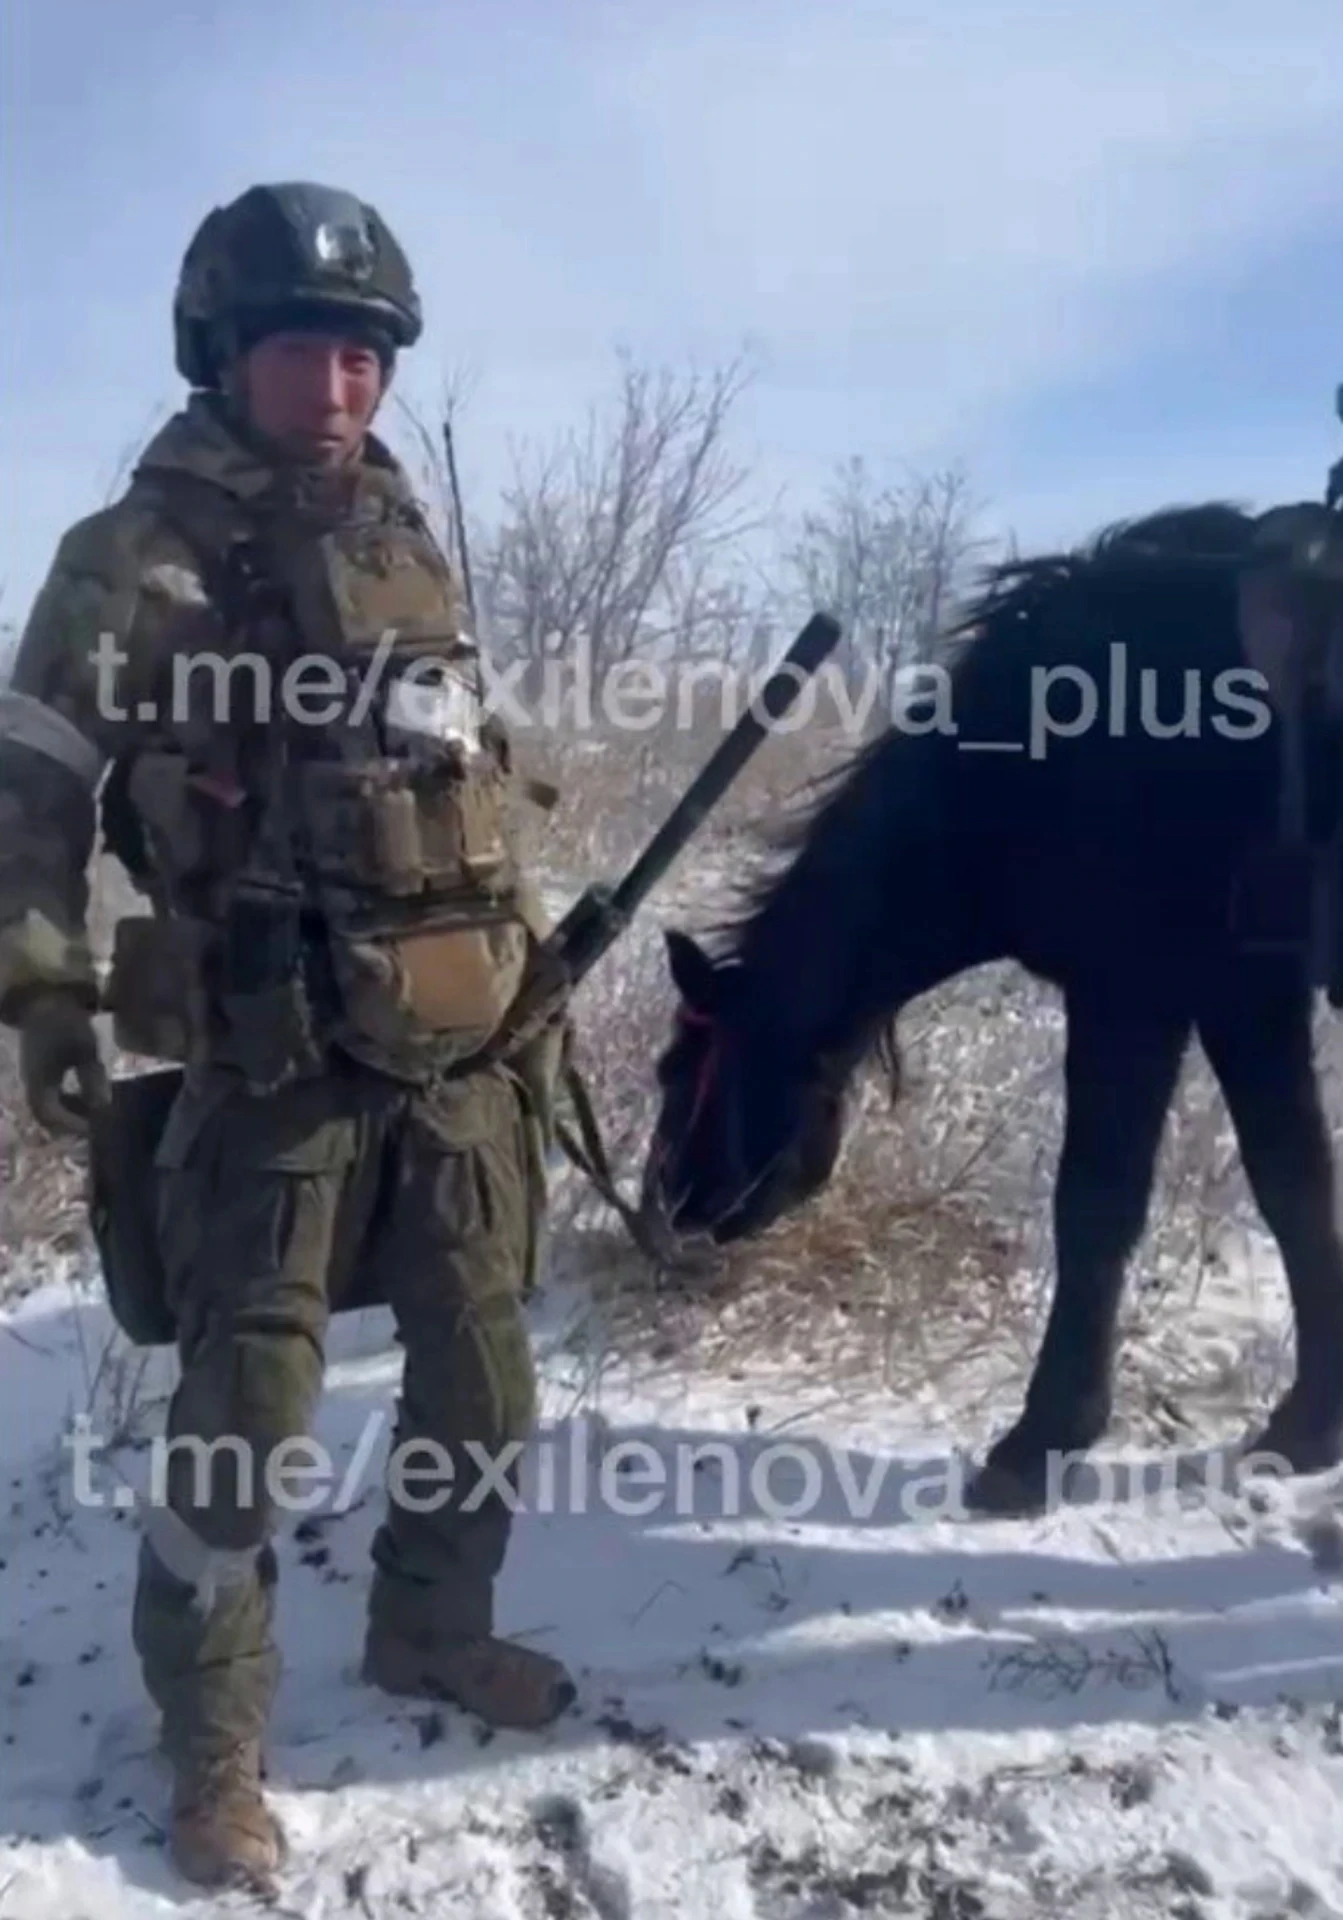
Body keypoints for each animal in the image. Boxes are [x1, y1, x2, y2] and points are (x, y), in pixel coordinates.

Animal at [635, 501, 1343, 1515]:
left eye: (679, 1074)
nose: (667, 1209)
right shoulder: (1245, 996)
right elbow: (1293, 1181)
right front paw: (1311, 1420)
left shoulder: (1132, 995)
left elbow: (1094, 1204)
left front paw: (1040, 1440)